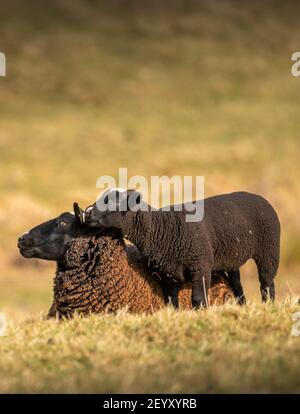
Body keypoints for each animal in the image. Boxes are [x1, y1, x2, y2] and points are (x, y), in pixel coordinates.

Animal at [83, 190, 280, 308]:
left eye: (114, 203)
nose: (87, 212)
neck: (162, 228)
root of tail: (258, 196)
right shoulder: (168, 273)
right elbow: (171, 301)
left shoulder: (200, 265)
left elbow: (198, 299)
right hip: (231, 259)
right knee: (237, 285)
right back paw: (242, 306)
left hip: (269, 250)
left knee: (267, 282)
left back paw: (268, 306)